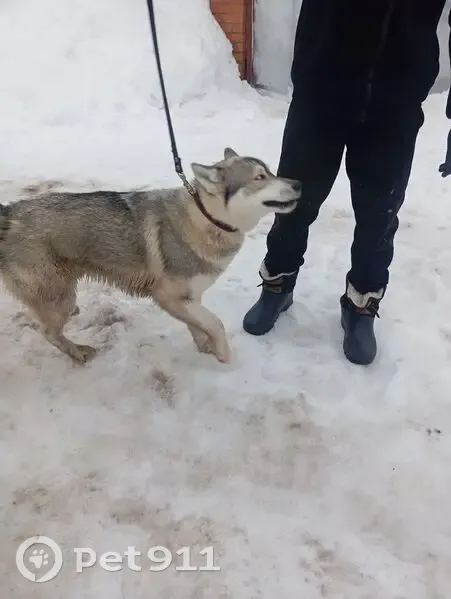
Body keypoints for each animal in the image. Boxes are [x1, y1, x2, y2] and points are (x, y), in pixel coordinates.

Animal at [0, 148, 301, 364]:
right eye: (260, 178)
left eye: (270, 171)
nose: (299, 183)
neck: (205, 218)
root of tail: (9, 213)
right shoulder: (167, 295)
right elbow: (215, 323)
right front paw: (223, 355)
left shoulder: (189, 298)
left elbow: (199, 323)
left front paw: (204, 346)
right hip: (57, 297)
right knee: (48, 332)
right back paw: (77, 352)